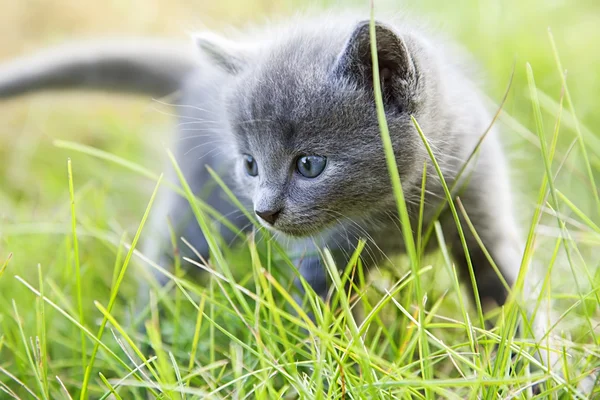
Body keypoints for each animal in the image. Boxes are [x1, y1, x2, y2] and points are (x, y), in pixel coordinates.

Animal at [1, 10, 592, 396]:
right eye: (250, 165)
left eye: (309, 164)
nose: (265, 211)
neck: (397, 211)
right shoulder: (321, 264)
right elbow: (328, 327)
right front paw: (337, 377)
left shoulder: (480, 212)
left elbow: (509, 296)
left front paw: (543, 372)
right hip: (197, 212)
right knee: (168, 269)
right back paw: (143, 356)